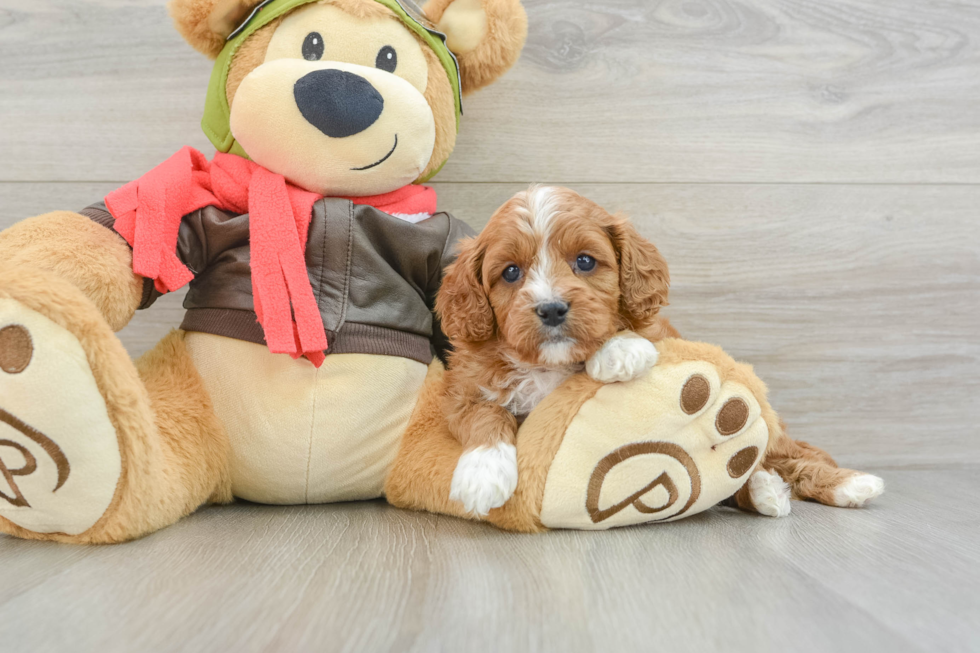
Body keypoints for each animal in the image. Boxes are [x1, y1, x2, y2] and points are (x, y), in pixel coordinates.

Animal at [438, 185, 680, 516]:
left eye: (586, 261)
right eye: (510, 272)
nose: (551, 309)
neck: (546, 366)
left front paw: (621, 348)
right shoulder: (461, 391)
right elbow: (484, 413)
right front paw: (482, 474)